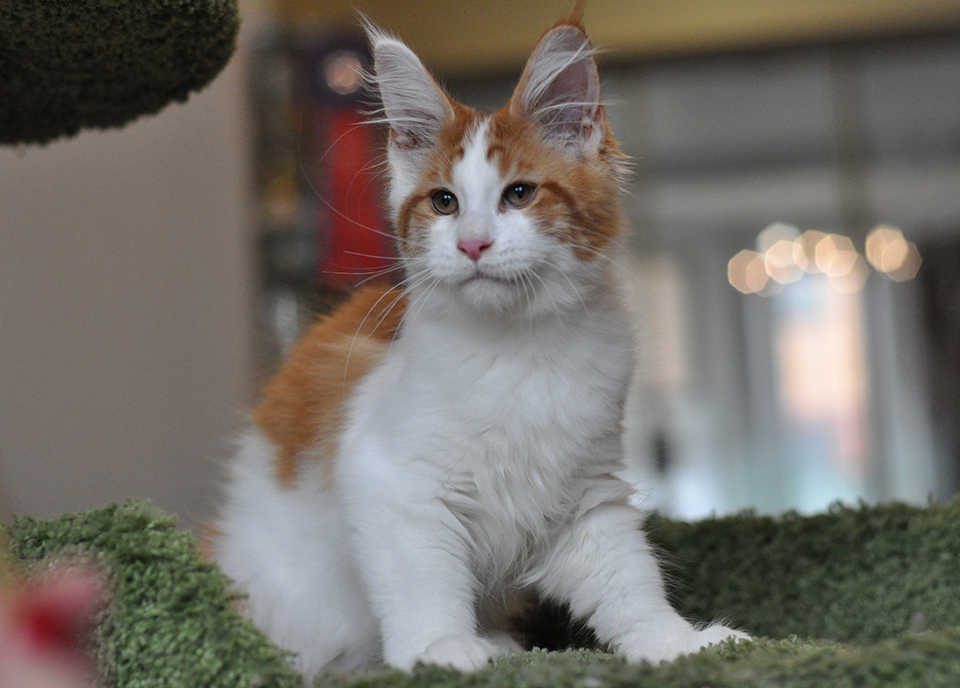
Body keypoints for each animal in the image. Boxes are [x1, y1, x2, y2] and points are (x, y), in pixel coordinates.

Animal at [214, 18, 748, 680]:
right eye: (444, 202)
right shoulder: (394, 485)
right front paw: (438, 649)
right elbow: (423, 583)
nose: (471, 244)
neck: (519, 350)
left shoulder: (588, 496)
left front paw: (676, 642)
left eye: (518, 194)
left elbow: (628, 583)